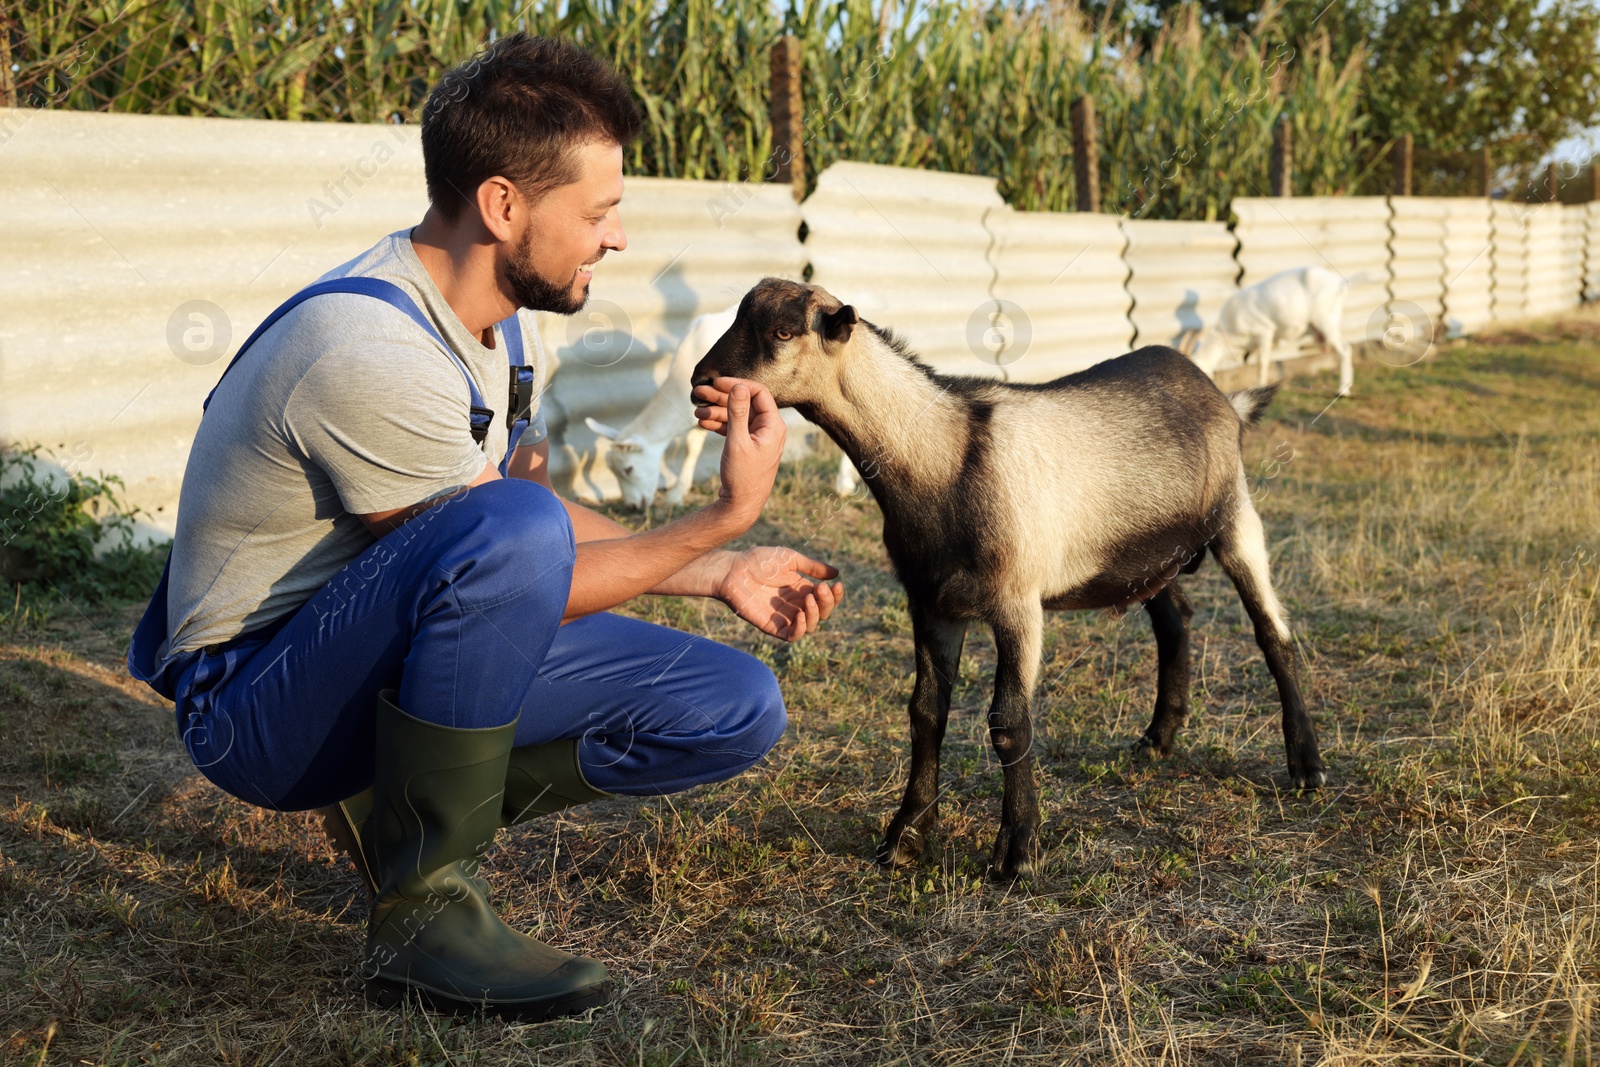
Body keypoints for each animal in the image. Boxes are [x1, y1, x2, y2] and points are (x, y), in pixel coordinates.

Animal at [691, 279, 1324, 883]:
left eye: (782, 331)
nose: (702, 384)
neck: (942, 458)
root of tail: (1221, 395)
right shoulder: (931, 602)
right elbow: (925, 713)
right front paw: (905, 839)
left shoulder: (1017, 602)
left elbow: (1008, 722)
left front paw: (1016, 852)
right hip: (1145, 556)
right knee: (1175, 622)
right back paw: (1157, 740)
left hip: (1236, 518)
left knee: (1274, 634)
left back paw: (1307, 766)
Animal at [1196, 265, 1356, 396]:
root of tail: (1339, 283)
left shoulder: (1264, 334)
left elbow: (1262, 363)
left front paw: (1260, 385)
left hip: (1325, 321)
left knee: (1344, 350)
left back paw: (1343, 391)